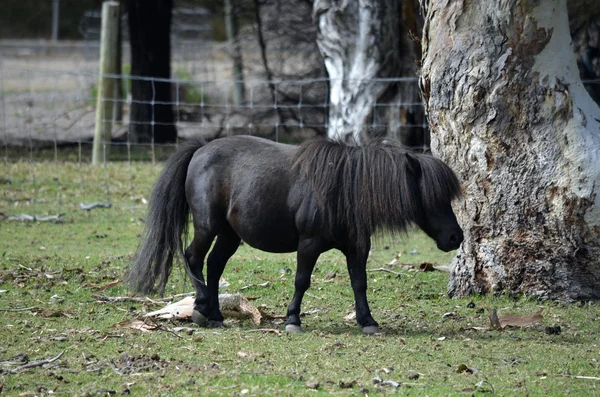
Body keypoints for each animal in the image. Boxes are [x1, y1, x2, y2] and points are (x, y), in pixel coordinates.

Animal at [127, 135, 464, 334]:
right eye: (432, 197)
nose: (456, 238)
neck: (342, 188)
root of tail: (199, 149)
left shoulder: (357, 247)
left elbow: (359, 283)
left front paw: (368, 321)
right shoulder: (309, 244)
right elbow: (302, 281)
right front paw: (292, 320)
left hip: (230, 235)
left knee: (214, 265)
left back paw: (215, 314)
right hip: (207, 226)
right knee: (193, 258)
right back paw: (200, 309)